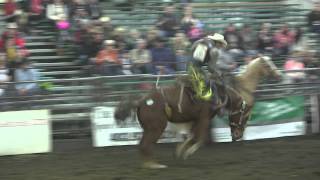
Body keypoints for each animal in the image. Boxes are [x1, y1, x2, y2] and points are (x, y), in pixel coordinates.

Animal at [114, 55, 282, 168]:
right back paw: (153, 165)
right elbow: (199, 138)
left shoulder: (197, 119)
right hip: (156, 127)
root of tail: (141, 101)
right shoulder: (205, 117)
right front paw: (187, 153)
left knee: (143, 145)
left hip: (149, 128)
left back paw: (149, 163)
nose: (279, 75)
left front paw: (179, 152)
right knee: (145, 144)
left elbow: (191, 136)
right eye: (269, 65)